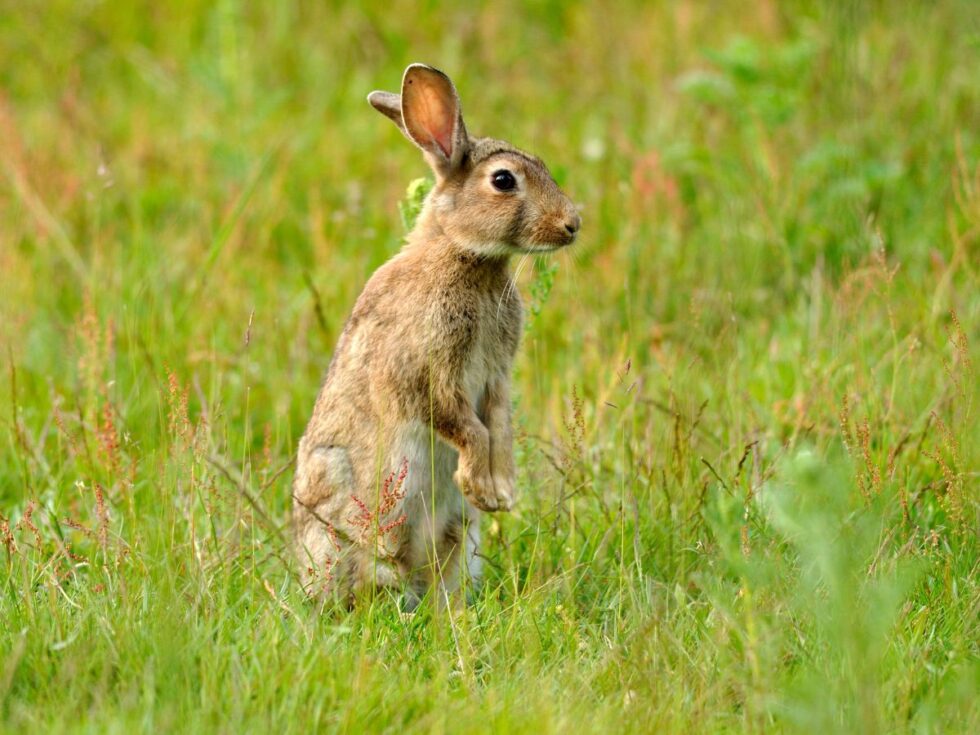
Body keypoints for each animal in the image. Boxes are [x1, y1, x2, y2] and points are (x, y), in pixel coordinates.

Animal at [292, 63, 580, 609]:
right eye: (504, 180)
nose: (573, 224)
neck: (462, 252)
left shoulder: (496, 376)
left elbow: (499, 424)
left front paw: (500, 491)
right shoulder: (429, 373)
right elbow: (469, 427)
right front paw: (481, 486)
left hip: (458, 537)